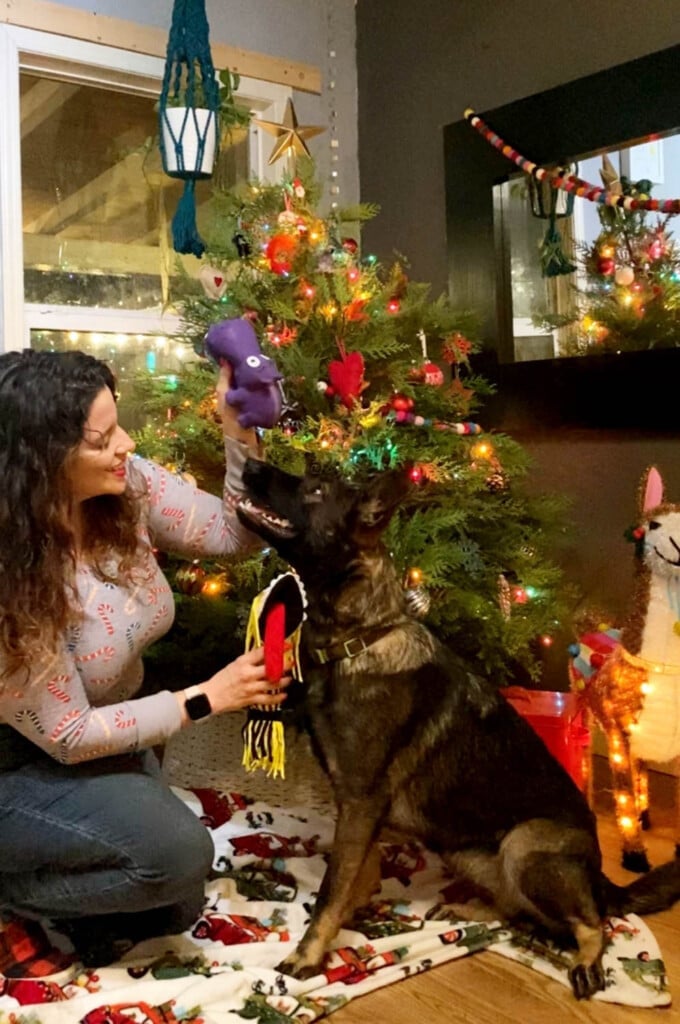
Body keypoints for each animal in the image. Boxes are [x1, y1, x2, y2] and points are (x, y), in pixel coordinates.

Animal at [235, 458, 680, 999]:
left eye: (316, 490)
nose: (250, 462)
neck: (359, 637)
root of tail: (599, 878)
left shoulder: (360, 803)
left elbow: (331, 888)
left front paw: (309, 953)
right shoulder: (362, 810)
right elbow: (358, 875)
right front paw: (357, 913)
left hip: (523, 844)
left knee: (593, 923)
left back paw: (586, 961)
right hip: (461, 849)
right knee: (519, 911)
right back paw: (475, 911)